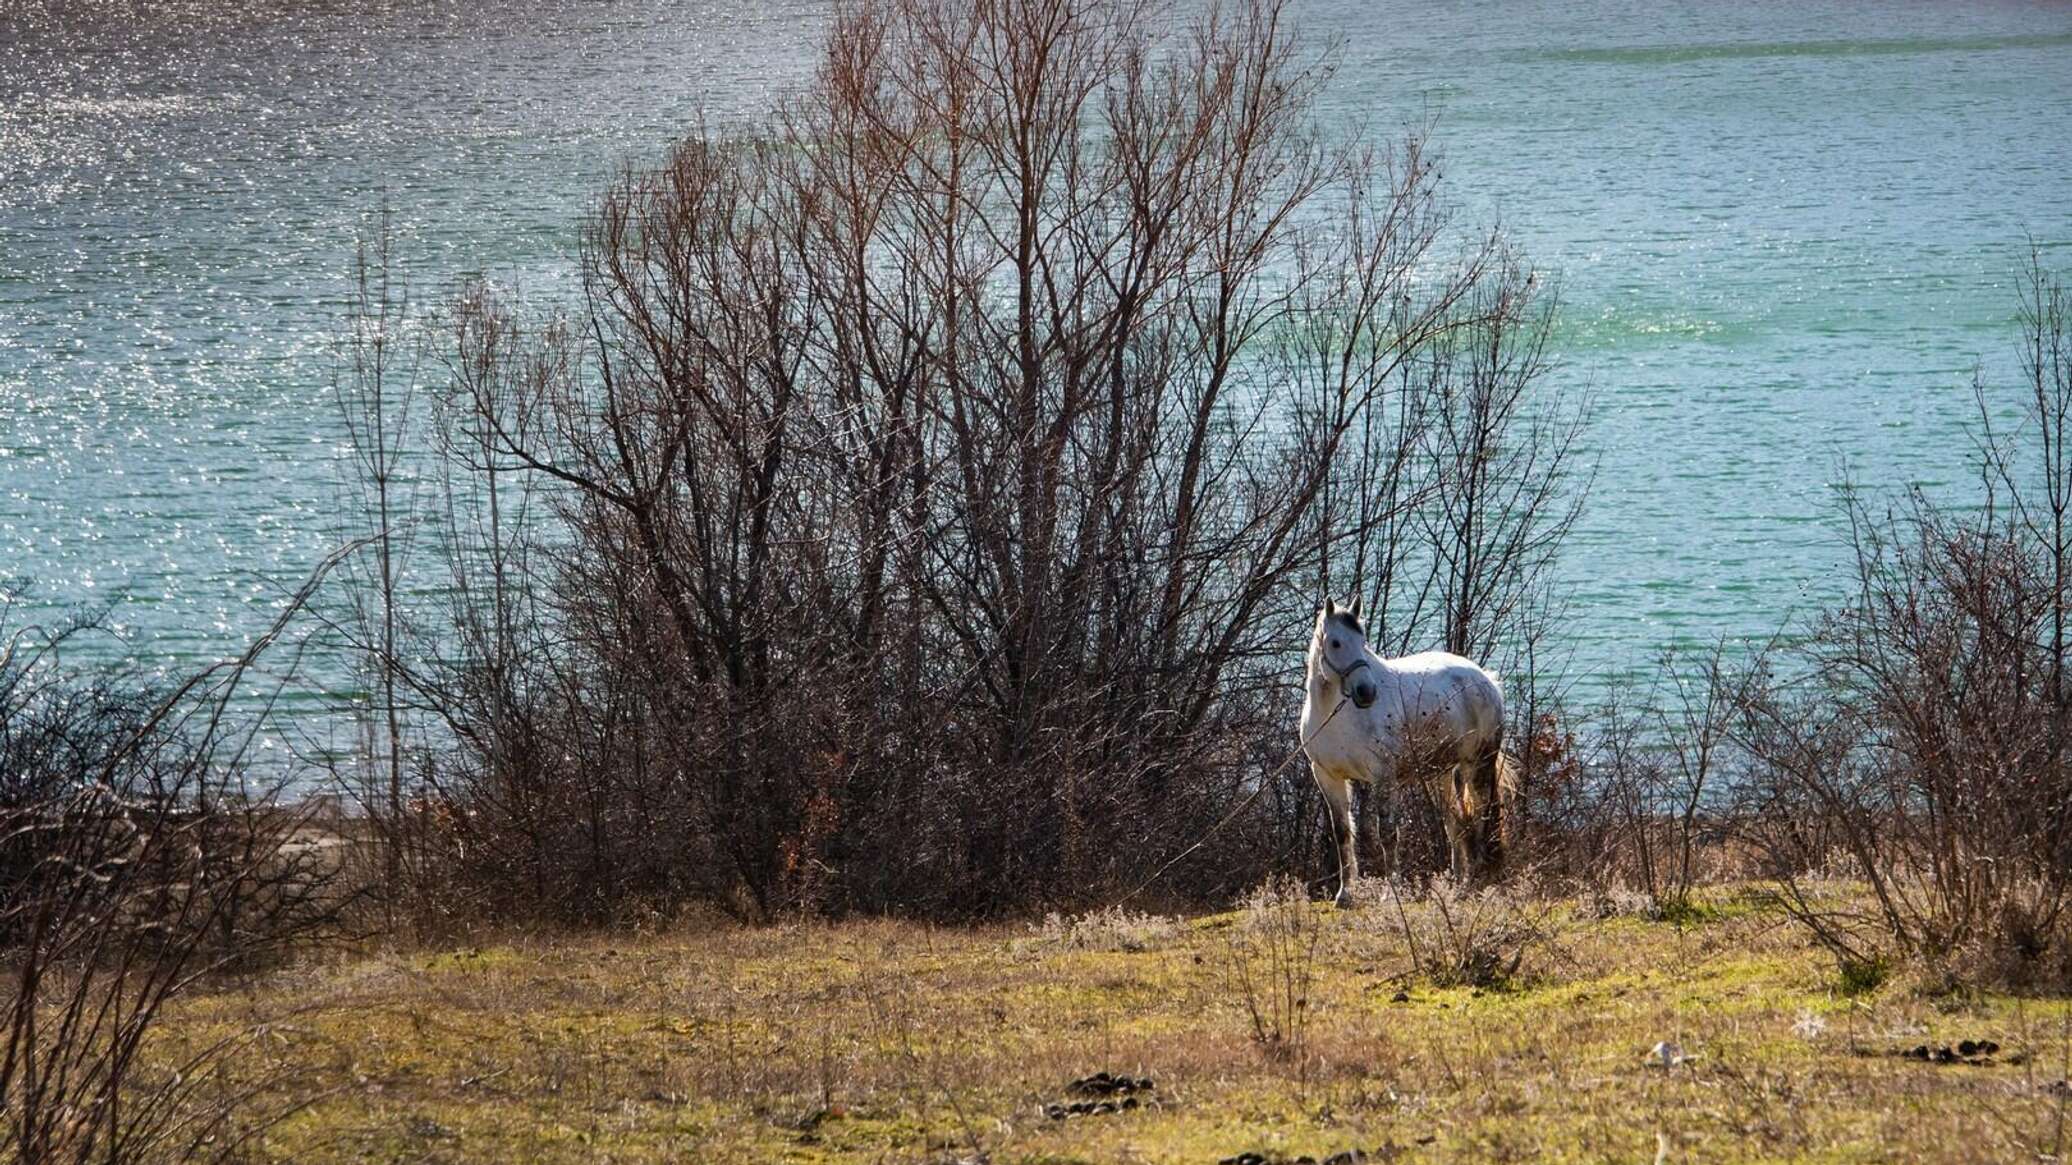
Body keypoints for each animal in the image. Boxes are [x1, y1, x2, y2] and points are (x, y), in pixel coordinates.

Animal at [1301, 592, 1516, 903]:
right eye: (1336, 643)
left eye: (1363, 641)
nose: (1367, 692)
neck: (1338, 715)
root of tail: (1486, 680)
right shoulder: (1327, 776)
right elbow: (1342, 833)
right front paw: (1345, 895)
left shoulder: (1383, 777)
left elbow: (1388, 833)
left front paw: (1391, 892)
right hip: (1442, 772)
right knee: (1455, 821)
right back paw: (1457, 884)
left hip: (1477, 764)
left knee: (1479, 815)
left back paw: (1472, 881)